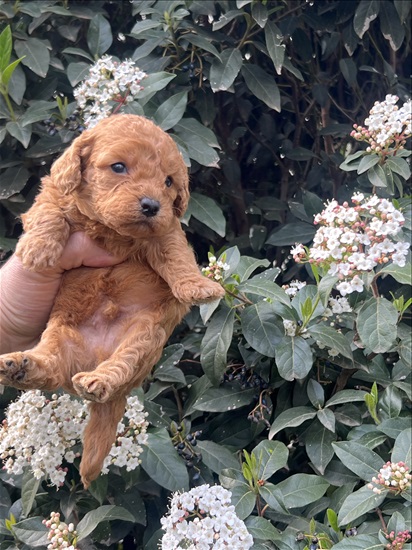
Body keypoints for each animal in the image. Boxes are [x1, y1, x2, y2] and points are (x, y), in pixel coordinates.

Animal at [0, 115, 225, 488]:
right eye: (118, 167)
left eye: (168, 181)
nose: (152, 205)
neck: (111, 231)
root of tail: (96, 357)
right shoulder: (52, 196)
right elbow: (49, 214)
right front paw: (37, 250)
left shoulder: (166, 230)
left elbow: (176, 255)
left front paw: (197, 286)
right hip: (60, 336)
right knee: (49, 369)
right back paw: (20, 365)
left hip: (143, 341)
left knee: (117, 368)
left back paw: (98, 380)